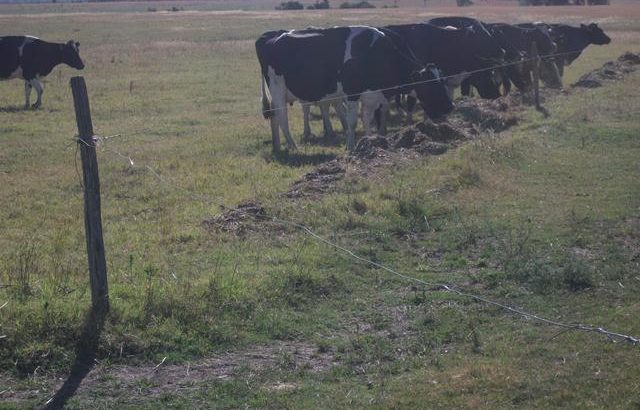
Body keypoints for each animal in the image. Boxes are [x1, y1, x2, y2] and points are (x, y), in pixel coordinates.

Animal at [256, 26, 456, 151]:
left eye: (443, 81)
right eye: (430, 85)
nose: (451, 107)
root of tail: (270, 36)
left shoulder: (371, 96)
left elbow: (367, 119)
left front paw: (370, 142)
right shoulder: (352, 93)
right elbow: (352, 122)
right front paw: (351, 147)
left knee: (274, 117)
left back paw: (277, 146)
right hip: (277, 88)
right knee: (282, 117)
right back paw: (292, 146)